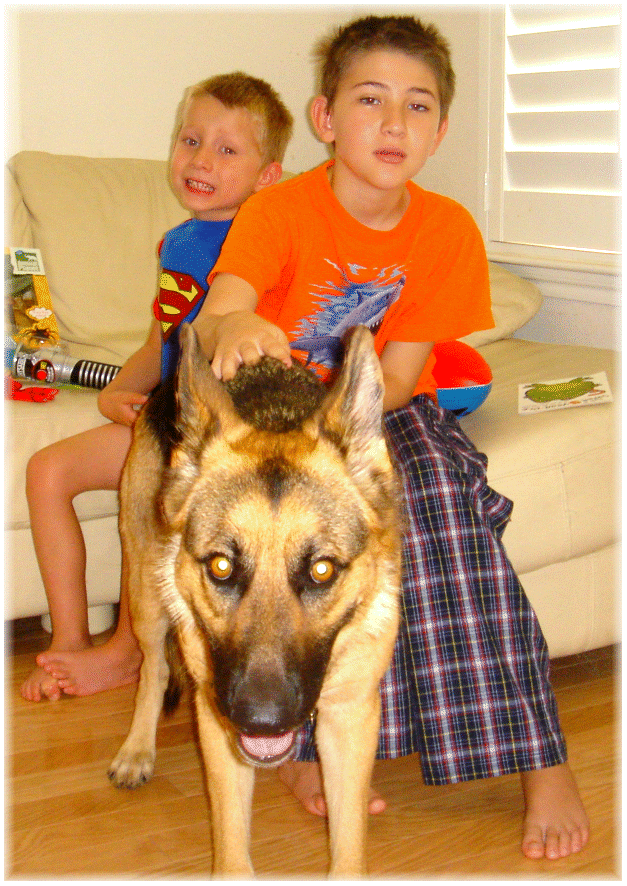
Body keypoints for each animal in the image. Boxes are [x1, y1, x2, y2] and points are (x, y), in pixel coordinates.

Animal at [108, 323, 401, 877]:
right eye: (221, 566)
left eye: (321, 570)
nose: (261, 720)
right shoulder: (216, 723)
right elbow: (231, 846)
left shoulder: (350, 716)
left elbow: (348, 845)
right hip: (147, 597)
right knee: (152, 668)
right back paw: (138, 749)